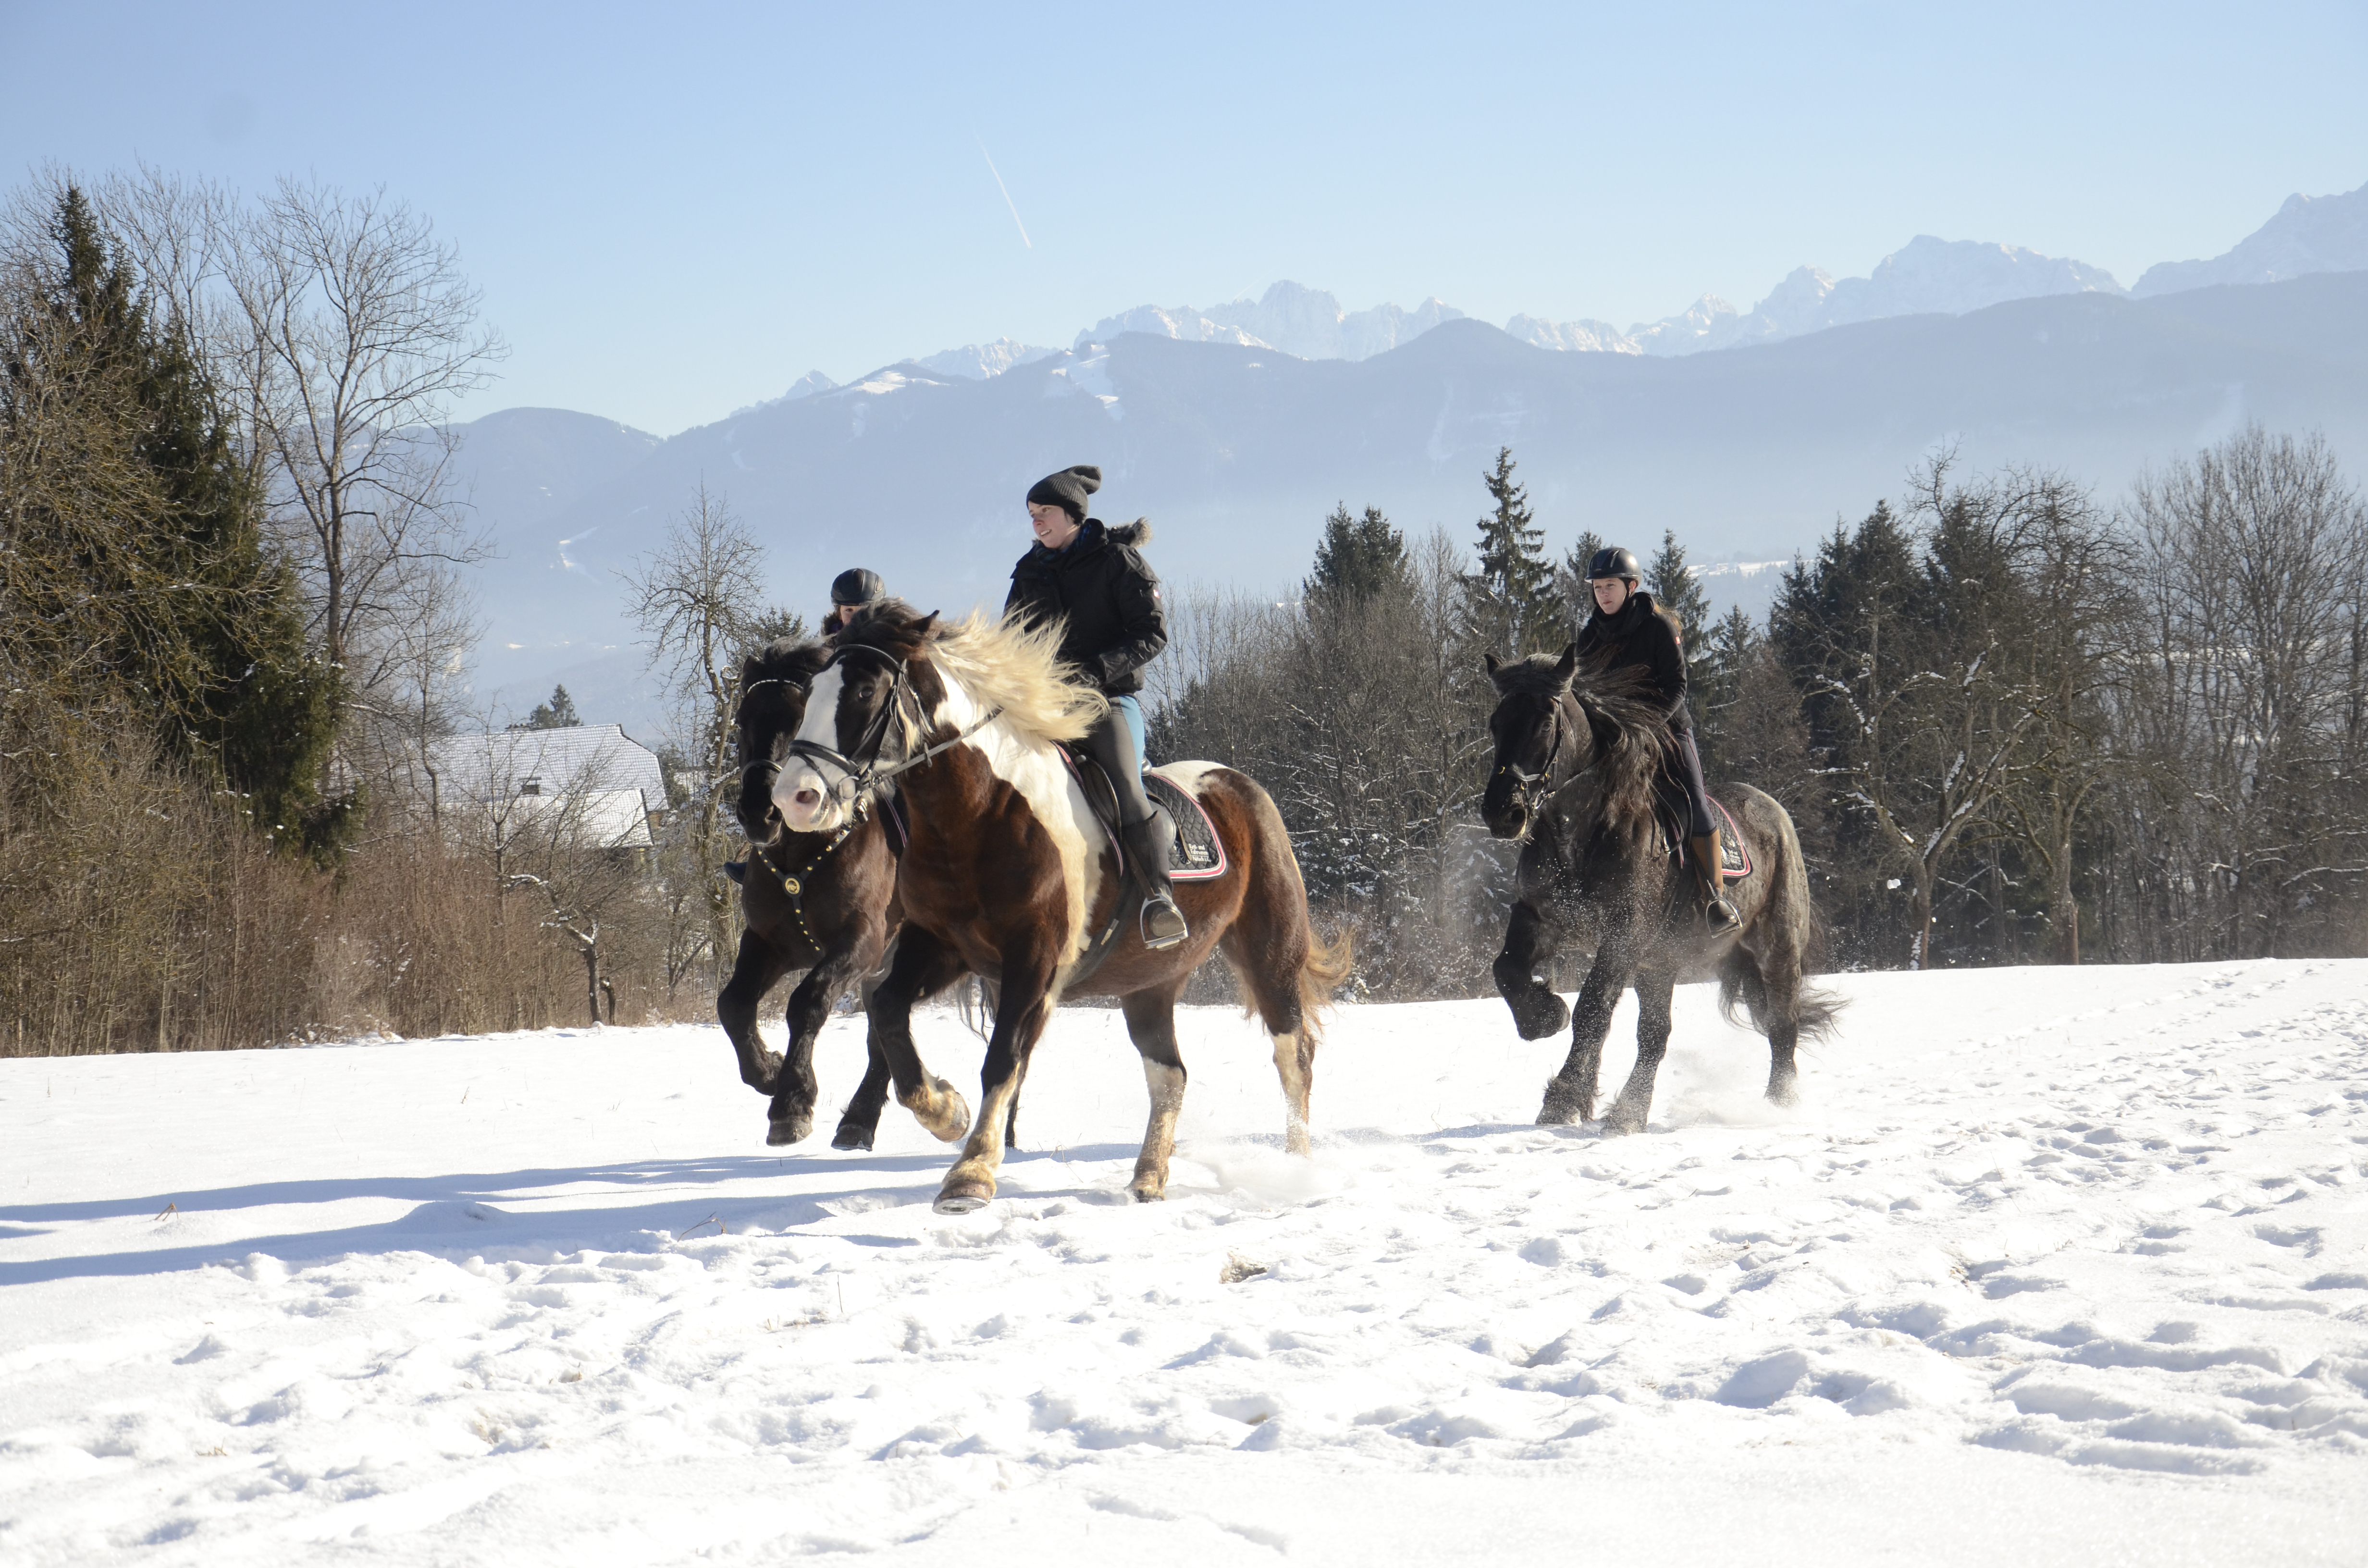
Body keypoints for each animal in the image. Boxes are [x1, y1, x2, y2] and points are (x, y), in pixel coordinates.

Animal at [767, 606, 1345, 1222]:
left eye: (865, 691)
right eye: (811, 691)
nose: (793, 798)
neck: (975, 816)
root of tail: (1238, 784)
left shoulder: (1035, 960)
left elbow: (1002, 1058)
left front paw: (970, 1175)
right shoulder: (942, 947)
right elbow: (890, 1015)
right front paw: (945, 1111)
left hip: (1269, 952)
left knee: (1292, 1056)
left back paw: (1295, 1168)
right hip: (1148, 984)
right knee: (1170, 1075)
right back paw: (1148, 1177)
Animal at [1478, 644, 1828, 1137]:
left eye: (1544, 723)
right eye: (1496, 722)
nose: (1502, 812)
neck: (1582, 831)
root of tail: (1775, 811)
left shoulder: (1624, 934)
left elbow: (1592, 1010)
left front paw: (1562, 1099)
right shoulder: (1539, 917)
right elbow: (1508, 971)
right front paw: (1544, 1019)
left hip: (1776, 948)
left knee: (1782, 1025)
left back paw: (1779, 1105)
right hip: (1659, 963)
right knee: (1655, 1035)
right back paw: (1630, 1112)